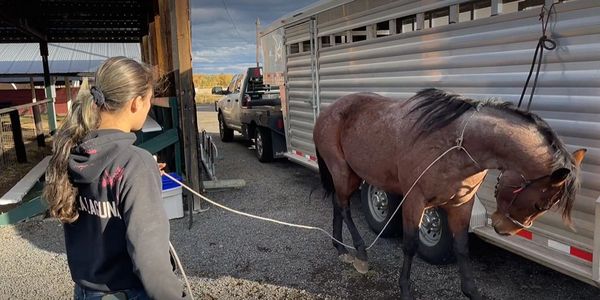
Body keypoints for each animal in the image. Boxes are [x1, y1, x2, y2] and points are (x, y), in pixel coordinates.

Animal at [314, 88, 584, 300]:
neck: (455, 146)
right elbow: (410, 244)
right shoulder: (414, 200)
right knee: (345, 207)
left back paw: (341, 248)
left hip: (351, 173)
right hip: (342, 171)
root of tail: (327, 111)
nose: (503, 228)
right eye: (540, 205)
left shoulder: (461, 204)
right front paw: (405, 289)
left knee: (338, 204)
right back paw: (360, 252)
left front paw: (471, 291)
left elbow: (462, 246)